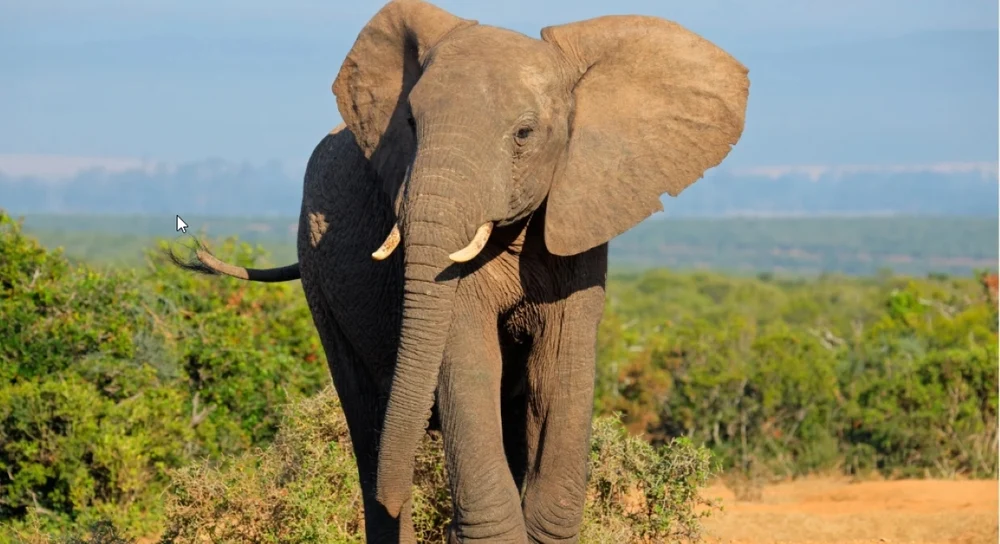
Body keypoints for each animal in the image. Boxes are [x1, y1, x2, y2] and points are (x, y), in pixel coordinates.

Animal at [169, 1, 748, 542]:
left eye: (524, 133)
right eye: (409, 123)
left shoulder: (581, 217)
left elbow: (558, 371)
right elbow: (468, 362)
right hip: (318, 278)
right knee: (366, 419)